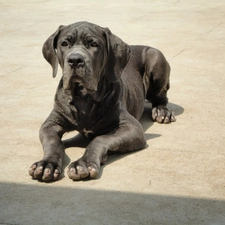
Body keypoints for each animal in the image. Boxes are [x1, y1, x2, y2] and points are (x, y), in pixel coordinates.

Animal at [28, 21, 176, 182]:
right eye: (64, 43)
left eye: (94, 44)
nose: (75, 60)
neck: (83, 97)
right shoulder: (51, 124)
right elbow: (53, 143)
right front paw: (47, 164)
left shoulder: (132, 127)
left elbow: (100, 139)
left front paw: (83, 163)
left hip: (155, 58)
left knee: (161, 97)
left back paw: (162, 111)